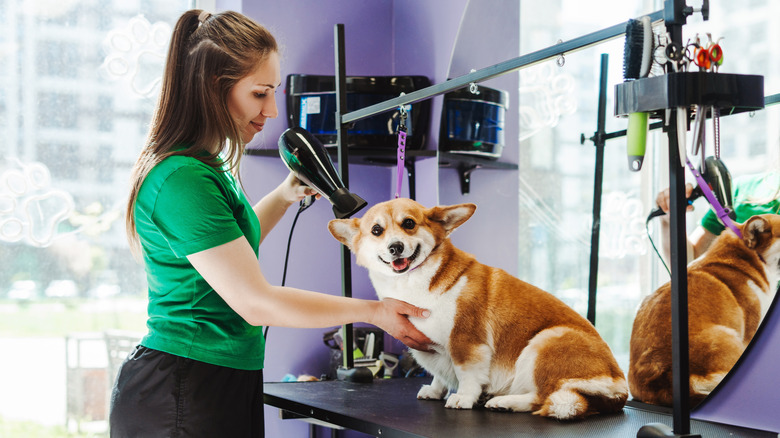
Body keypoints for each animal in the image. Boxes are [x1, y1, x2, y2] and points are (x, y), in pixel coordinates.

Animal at [328, 199, 628, 420]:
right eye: (376, 230)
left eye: (409, 224)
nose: (395, 247)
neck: (413, 282)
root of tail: (618, 387)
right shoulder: (434, 349)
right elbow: (439, 373)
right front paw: (435, 390)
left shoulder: (466, 342)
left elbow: (467, 374)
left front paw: (463, 397)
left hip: (545, 341)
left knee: (544, 398)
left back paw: (504, 401)